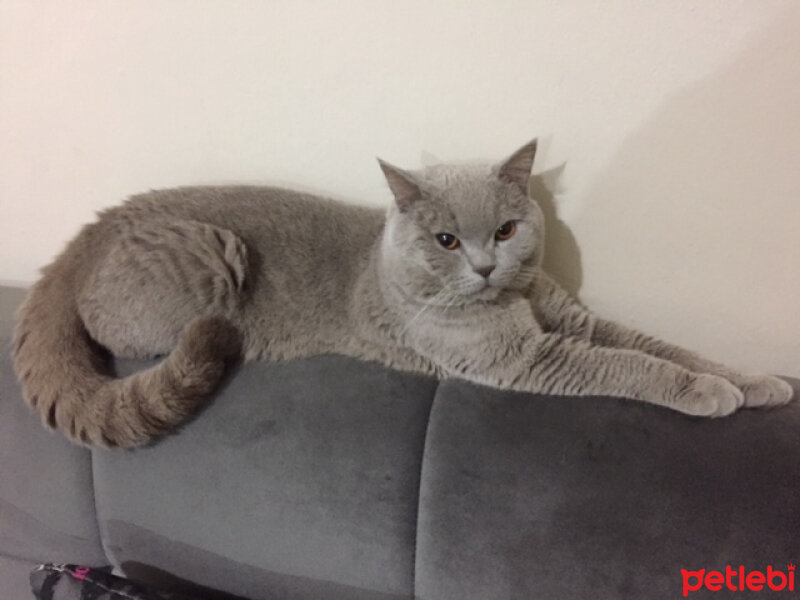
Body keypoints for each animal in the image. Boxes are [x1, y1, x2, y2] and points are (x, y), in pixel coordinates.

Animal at [12, 141, 792, 446]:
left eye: (507, 228)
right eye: (446, 240)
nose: (485, 266)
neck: (517, 300)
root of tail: (93, 229)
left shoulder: (576, 320)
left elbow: (659, 345)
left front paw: (756, 382)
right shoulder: (530, 358)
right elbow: (632, 365)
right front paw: (710, 393)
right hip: (212, 256)